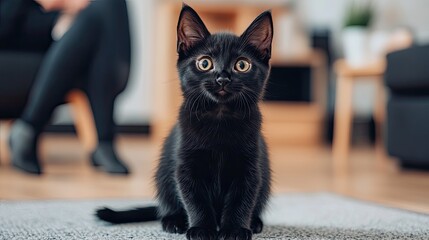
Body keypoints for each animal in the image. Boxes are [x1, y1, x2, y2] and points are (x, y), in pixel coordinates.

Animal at [95, 4, 272, 240]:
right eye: (205, 63)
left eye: (242, 65)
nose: (222, 78)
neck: (219, 118)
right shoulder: (186, 167)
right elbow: (196, 200)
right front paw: (202, 229)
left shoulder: (249, 167)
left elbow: (241, 199)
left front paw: (234, 229)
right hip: (164, 175)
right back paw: (174, 221)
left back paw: (254, 222)